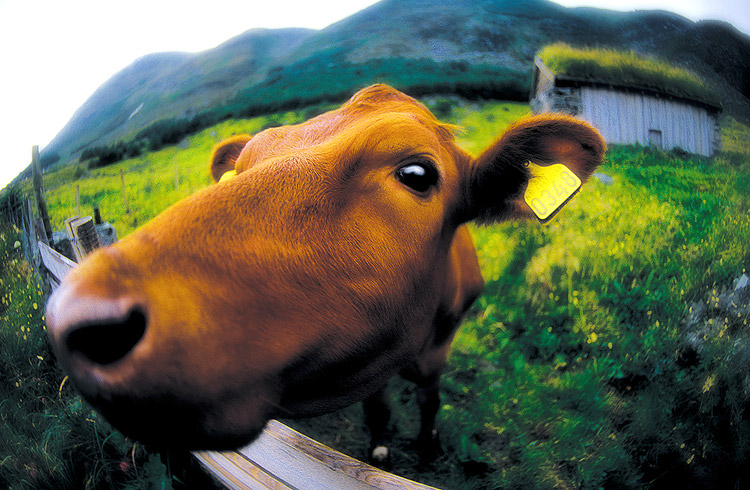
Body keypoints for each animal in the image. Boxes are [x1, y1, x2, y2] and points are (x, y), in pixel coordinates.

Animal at [45, 84, 605, 465]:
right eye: (239, 169)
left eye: (417, 173)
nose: (78, 314)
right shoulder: (376, 352)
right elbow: (379, 408)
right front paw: (380, 446)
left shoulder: (436, 346)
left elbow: (430, 398)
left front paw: (427, 445)